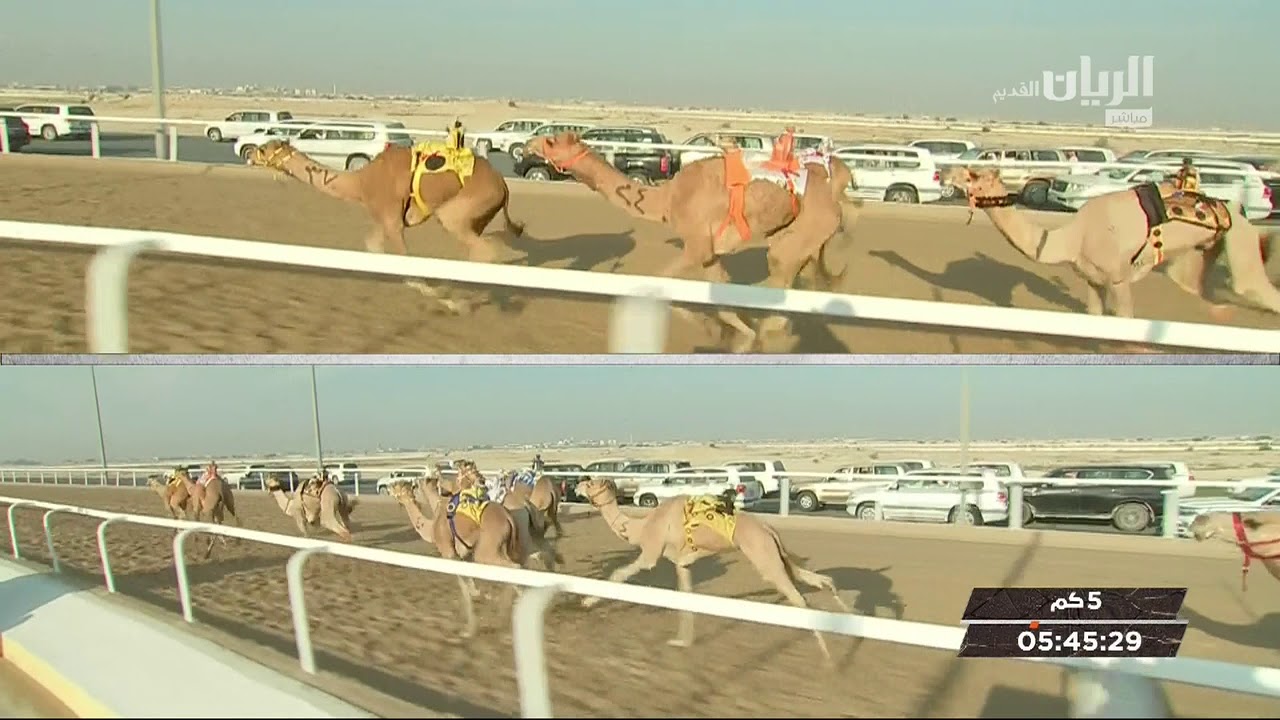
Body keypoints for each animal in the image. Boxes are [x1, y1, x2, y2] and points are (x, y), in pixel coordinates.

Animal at [246, 121, 525, 313]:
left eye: (264, 149)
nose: (248, 154)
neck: (360, 183)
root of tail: (503, 185)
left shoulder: (392, 219)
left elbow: (404, 262)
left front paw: (448, 301)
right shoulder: (383, 220)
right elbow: (374, 248)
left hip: (459, 211)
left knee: (484, 248)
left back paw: (467, 301)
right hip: (477, 217)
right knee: (477, 250)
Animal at [386, 479, 524, 639]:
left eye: (397, 486)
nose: (387, 487)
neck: (431, 528)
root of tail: (507, 517)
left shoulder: (449, 554)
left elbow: (464, 587)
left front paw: (469, 630)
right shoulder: (465, 556)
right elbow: (471, 587)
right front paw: (482, 597)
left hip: (486, 550)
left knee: (515, 567)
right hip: (502, 547)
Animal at [526, 128, 858, 353]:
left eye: (551, 141)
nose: (527, 145)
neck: (667, 198)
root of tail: (837, 190)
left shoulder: (696, 245)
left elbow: (665, 282)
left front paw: (716, 330)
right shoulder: (711, 253)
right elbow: (721, 294)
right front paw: (737, 336)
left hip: (801, 234)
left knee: (779, 279)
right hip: (802, 240)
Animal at [573, 477, 851, 662]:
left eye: (591, 484)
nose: (576, 484)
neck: (642, 527)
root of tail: (769, 530)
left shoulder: (651, 553)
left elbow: (618, 574)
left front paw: (586, 602)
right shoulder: (682, 562)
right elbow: (686, 597)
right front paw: (682, 641)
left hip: (764, 557)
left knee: (800, 599)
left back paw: (830, 659)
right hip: (777, 555)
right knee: (822, 580)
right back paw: (849, 618)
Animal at [945, 167, 1280, 320]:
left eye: (973, 175)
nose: (947, 173)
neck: (1071, 238)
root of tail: (1235, 209)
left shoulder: (1118, 279)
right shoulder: (1093, 281)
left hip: (1240, 241)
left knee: (1252, 286)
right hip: (1201, 252)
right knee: (1195, 287)